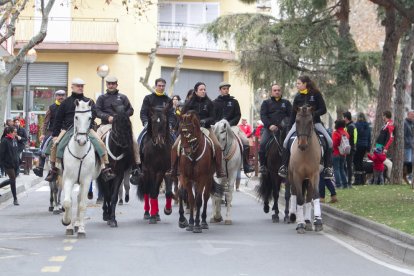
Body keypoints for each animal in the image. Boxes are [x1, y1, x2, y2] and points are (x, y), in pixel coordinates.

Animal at [60, 100, 100, 238]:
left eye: (90, 118)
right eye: (76, 117)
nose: (81, 140)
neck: (79, 151)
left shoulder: (86, 180)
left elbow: (82, 205)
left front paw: (82, 229)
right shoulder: (68, 179)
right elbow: (68, 202)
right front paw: (67, 222)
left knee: (79, 199)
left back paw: (78, 225)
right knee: (73, 199)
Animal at [288, 104, 324, 234]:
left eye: (310, 122)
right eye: (297, 121)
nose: (302, 145)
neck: (305, 153)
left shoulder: (315, 174)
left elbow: (316, 195)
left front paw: (318, 222)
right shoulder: (297, 175)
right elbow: (299, 198)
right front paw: (300, 224)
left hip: (308, 179)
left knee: (308, 197)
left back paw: (308, 221)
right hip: (291, 176)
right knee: (293, 193)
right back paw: (294, 216)